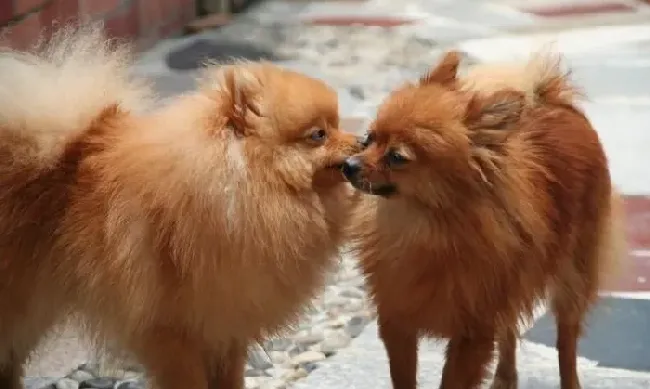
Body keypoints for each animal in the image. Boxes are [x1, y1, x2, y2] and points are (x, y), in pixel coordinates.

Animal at [344, 50, 624, 386]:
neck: (424, 227)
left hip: (573, 278)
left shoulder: (472, 333)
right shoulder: (397, 323)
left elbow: (452, 380)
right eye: (368, 139)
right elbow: (404, 378)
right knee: (510, 329)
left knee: (565, 343)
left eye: (397, 157)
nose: (347, 165)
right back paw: (505, 378)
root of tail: (553, 99)